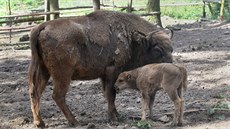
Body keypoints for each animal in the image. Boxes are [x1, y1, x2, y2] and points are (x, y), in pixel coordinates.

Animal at [28, 10, 172, 127]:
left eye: (171, 48)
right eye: (157, 49)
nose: (170, 64)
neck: (131, 39)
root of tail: (42, 27)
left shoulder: (104, 75)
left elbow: (108, 95)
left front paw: (116, 115)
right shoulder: (112, 71)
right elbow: (111, 94)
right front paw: (114, 118)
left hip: (43, 70)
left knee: (35, 92)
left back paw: (40, 123)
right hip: (63, 75)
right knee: (57, 95)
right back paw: (74, 122)